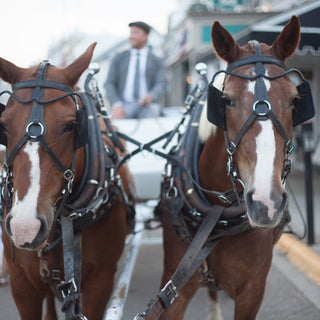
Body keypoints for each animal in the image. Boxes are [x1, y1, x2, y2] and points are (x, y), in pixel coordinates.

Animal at [139, 15, 314, 320]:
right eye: (227, 100)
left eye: (294, 100)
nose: (266, 203)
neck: (217, 216)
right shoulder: (174, 289)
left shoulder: (252, 292)